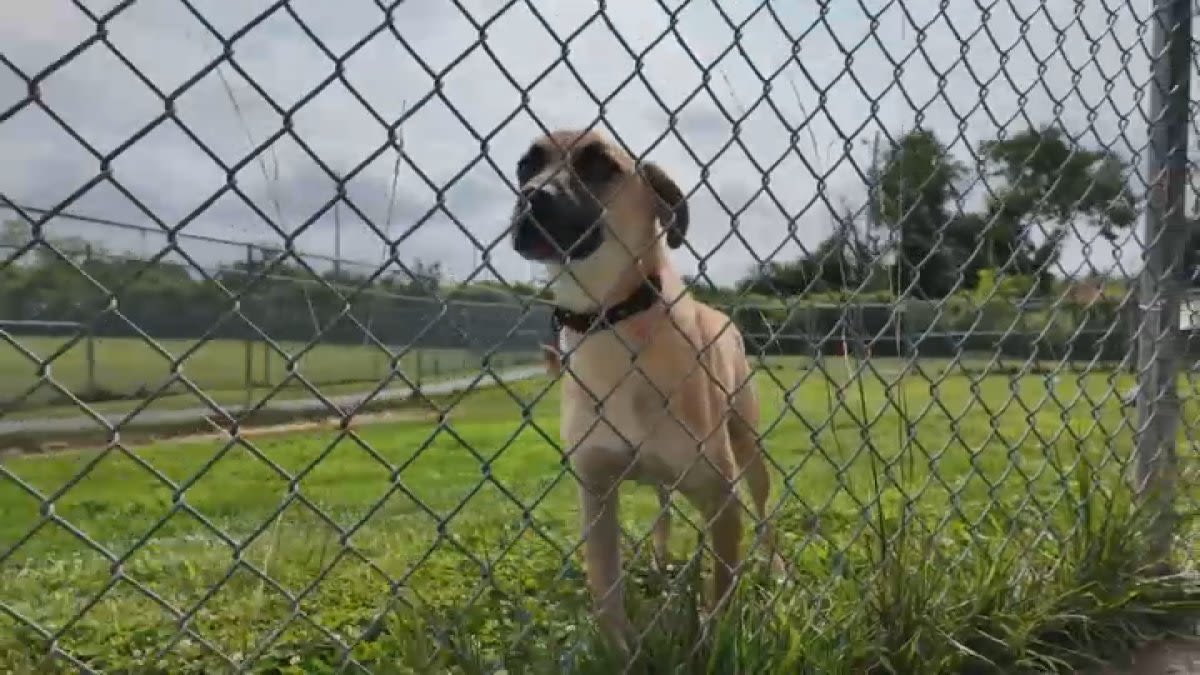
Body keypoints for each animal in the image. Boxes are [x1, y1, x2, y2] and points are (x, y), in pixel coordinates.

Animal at [508, 128, 782, 648]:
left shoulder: (722, 496)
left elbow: (721, 589)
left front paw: (712, 640)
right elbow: (607, 593)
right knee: (662, 508)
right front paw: (620, 650)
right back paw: (659, 561)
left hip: (748, 447)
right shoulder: (596, 492)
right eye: (525, 165)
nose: (531, 197)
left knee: (764, 511)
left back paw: (774, 566)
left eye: (600, 165)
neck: (609, 319)